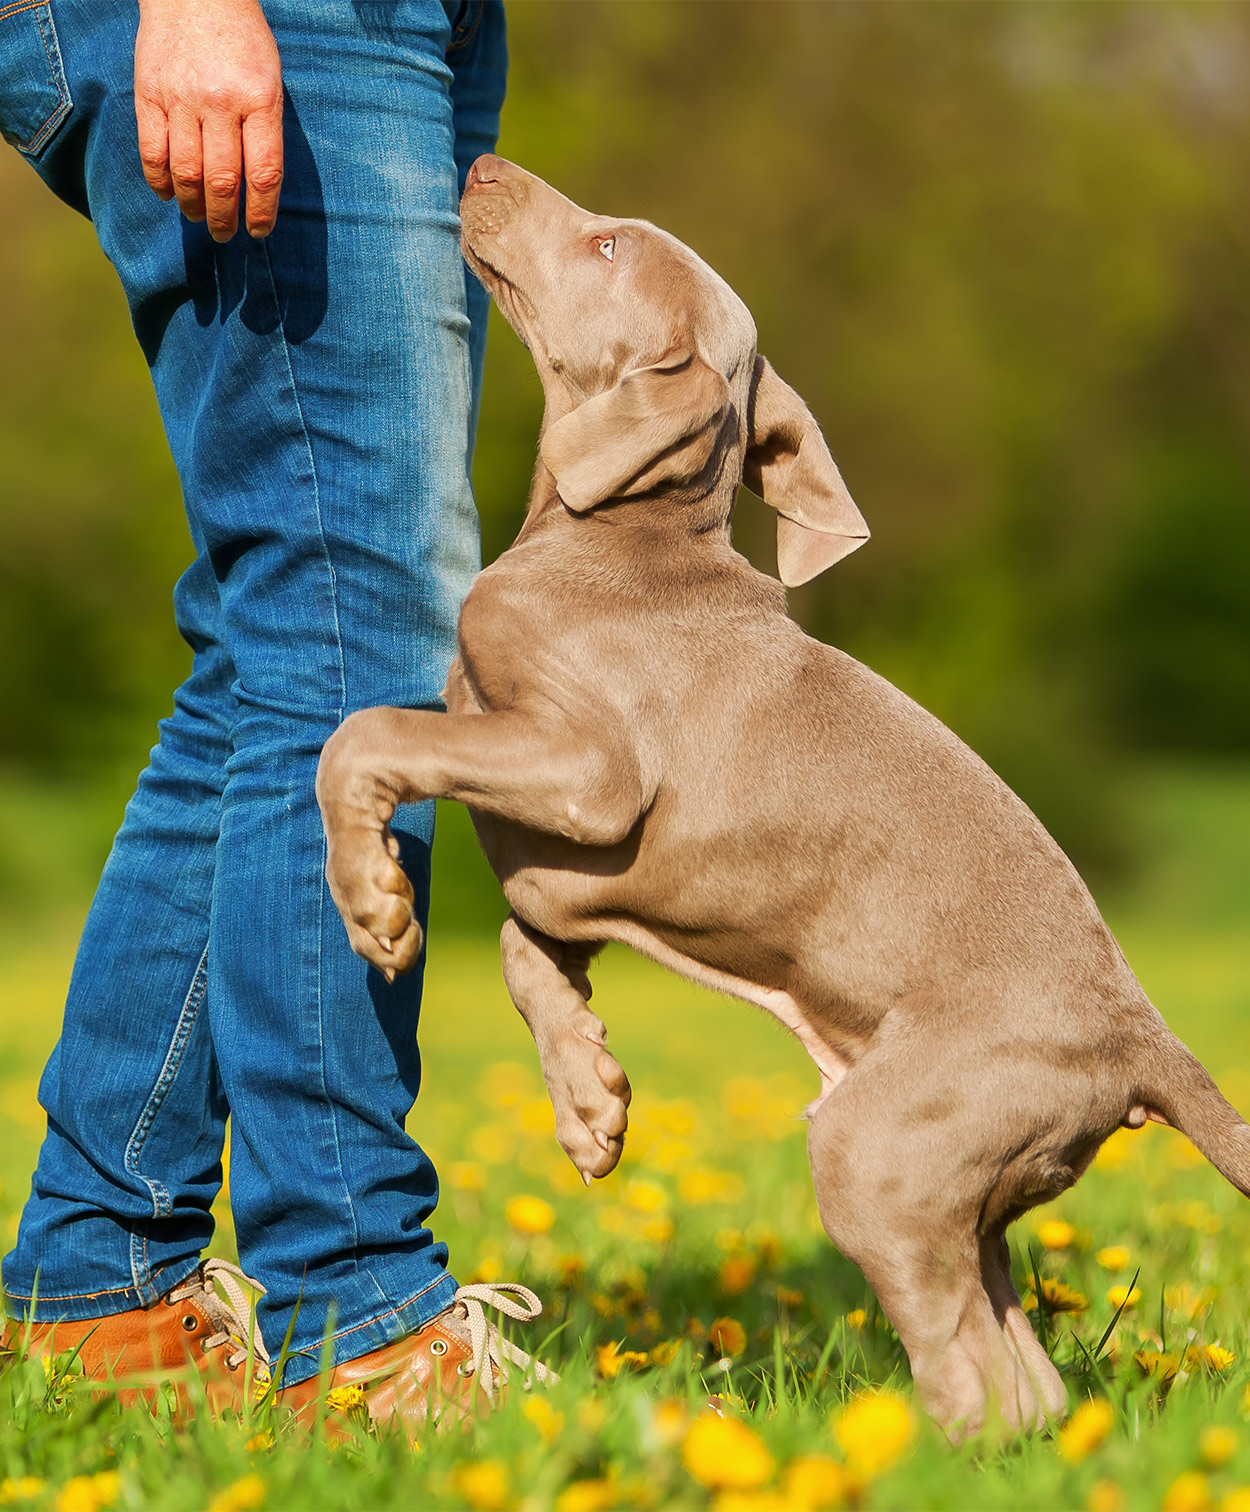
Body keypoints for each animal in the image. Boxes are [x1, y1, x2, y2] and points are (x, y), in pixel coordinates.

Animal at [315, 156, 1250, 1439]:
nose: (485, 165)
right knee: (1027, 1378)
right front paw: (588, 1100)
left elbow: (365, 735)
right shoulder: (562, 858)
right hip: (964, 1174)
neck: (620, 533)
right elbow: (519, 940)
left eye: (608, 244)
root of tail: (1140, 1038)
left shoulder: (590, 777)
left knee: (970, 1366)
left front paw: (371, 906)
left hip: (878, 1147)